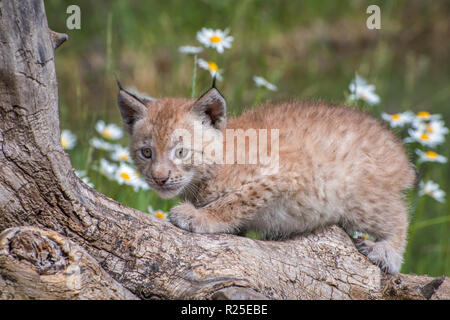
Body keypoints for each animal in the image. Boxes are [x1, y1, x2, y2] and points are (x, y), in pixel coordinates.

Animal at [117, 81, 414, 274]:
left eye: (181, 152)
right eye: (146, 153)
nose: (159, 179)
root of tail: (395, 145)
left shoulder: (288, 172)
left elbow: (237, 200)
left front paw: (200, 216)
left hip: (359, 199)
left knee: (399, 215)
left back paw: (388, 252)